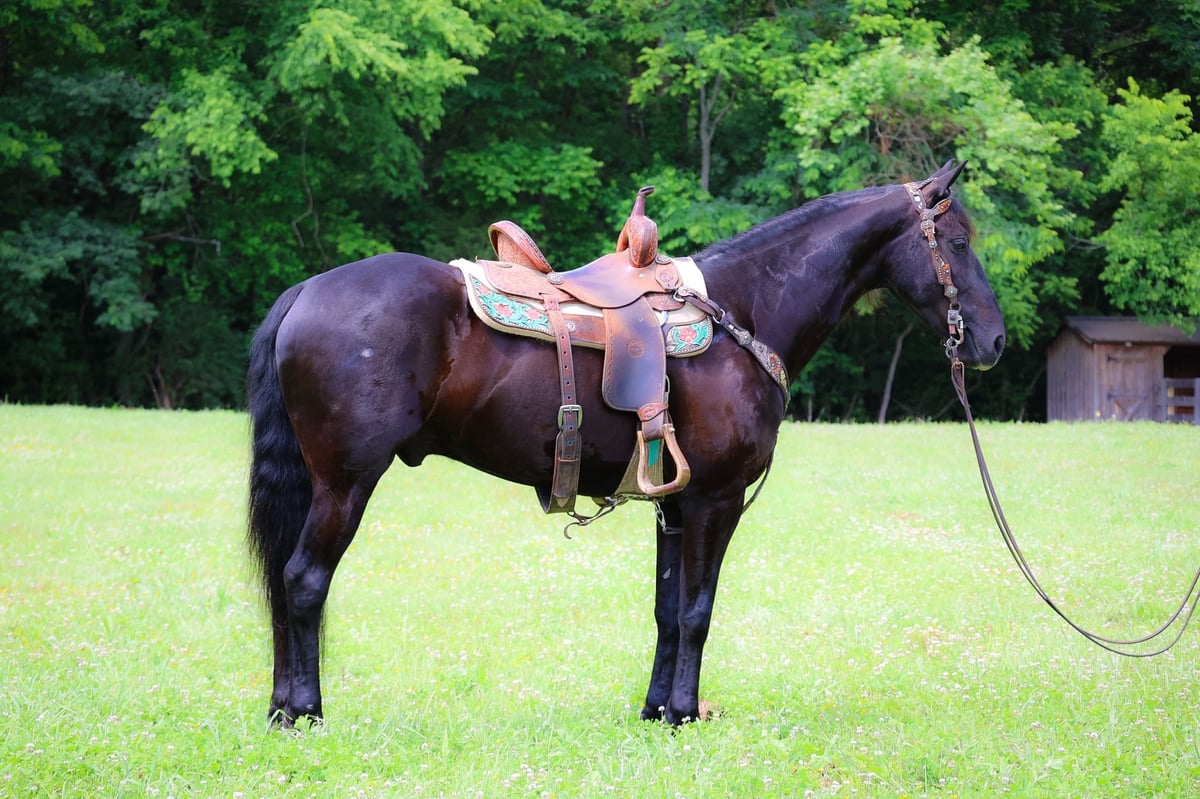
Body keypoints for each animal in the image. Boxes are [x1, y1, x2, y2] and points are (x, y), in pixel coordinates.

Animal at [246, 161, 1005, 727]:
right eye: (958, 242)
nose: (995, 341)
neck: (744, 310)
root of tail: (307, 290)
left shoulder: (675, 504)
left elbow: (668, 610)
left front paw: (655, 710)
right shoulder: (715, 500)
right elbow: (697, 611)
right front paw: (685, 714)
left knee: (283, 583)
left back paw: (282, 708)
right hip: (345, 481)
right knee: (303, 580)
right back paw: (305, 710)